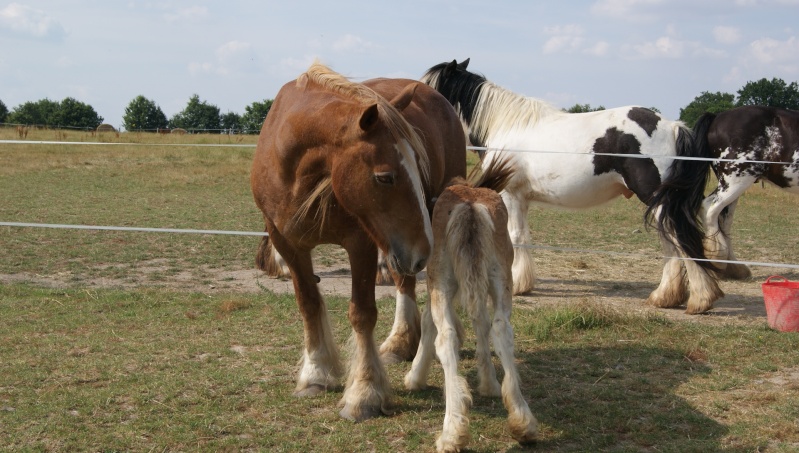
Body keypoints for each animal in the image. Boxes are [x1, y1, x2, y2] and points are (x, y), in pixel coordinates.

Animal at [252, 62, 468, 420]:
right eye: (385, 177)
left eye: (417, 164)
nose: (423, 250)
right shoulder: (289, 245)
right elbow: (308, 304)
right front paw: (316, 372)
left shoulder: (361, 245)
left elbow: (362, 314)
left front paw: (364, 393)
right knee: (403, 280)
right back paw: (401, 343)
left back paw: (402, 341)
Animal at [406, 156, 536, 452]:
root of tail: (469, 207)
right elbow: (482, 323)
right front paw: (489, 382)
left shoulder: (438, 285)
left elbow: (429, 324)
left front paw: (415, 377)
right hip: (501, 279)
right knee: (501, 329)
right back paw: (522, 422)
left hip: (441, 281)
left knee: (446, 337)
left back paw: (452, 431)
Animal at [424, 59, 724, 314]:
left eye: (430, 88)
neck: (506, 125)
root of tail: (672, 126)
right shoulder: (522, 198)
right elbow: (523, 235)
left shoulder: (511, 195)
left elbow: (516, 236)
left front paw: (518, 285)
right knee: (669, 242)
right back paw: (666, 297)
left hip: (657, 199)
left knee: (679, 239)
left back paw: (700, 299)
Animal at [692, 106, 799, 280]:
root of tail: (717, 117)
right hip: (736, 181)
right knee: (709, 208)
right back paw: (717, 260)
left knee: (725, 221)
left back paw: (734, 268)